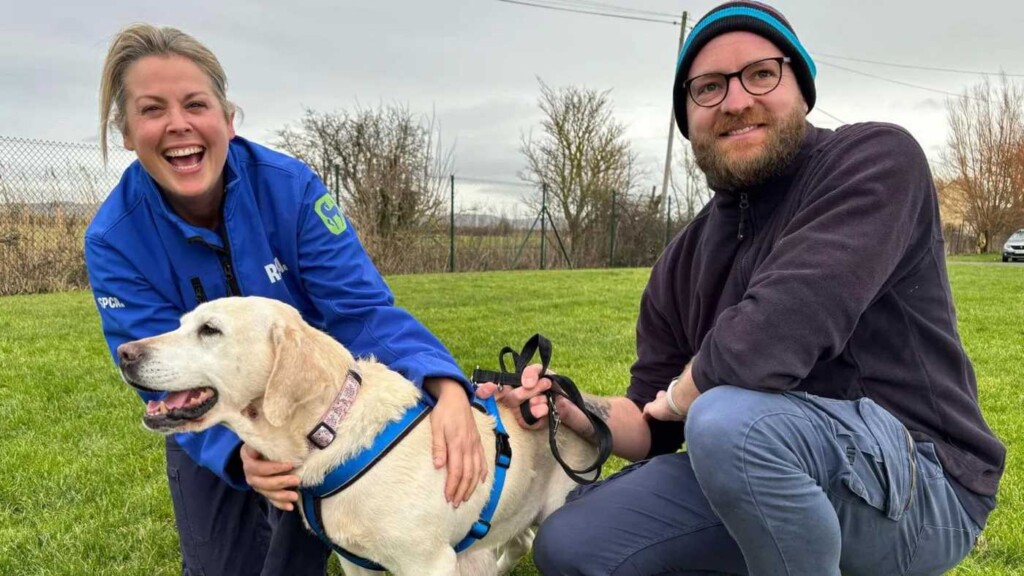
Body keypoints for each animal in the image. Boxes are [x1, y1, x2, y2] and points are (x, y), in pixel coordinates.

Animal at [117, 295, 598, 573]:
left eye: (210, 330)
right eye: (181, 323)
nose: (123, 352)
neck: (328, 431)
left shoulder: (427, 563)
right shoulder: (358, 563)